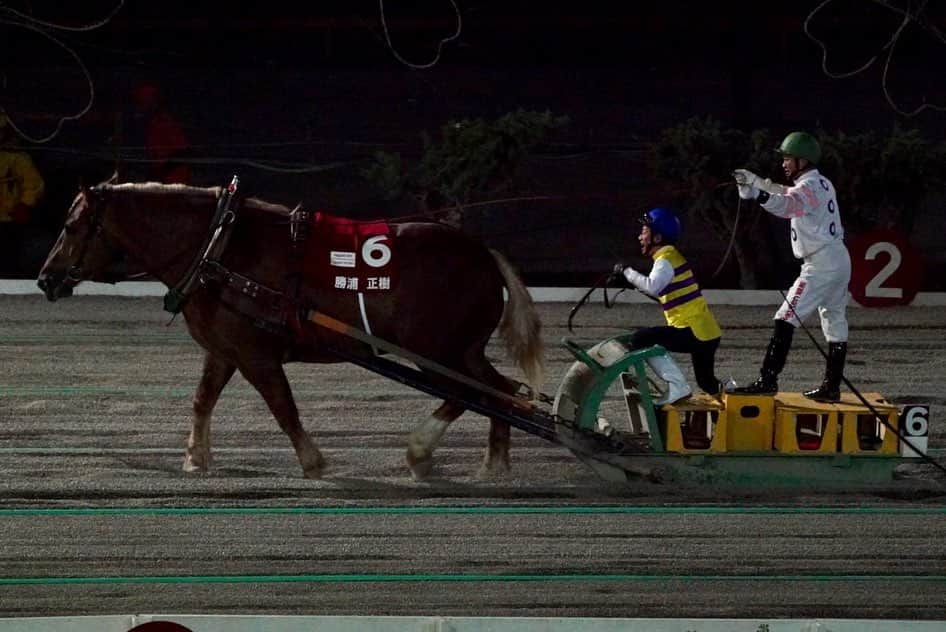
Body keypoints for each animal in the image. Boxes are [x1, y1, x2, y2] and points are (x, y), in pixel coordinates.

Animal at [37, 181, 544, 478]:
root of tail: (482, 253)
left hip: (434, 350)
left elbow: (283, 408)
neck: (219, 248)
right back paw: (495, 463)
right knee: (502, 390)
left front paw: (312, 461)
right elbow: (202, 399)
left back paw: (421, 452)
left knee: (470, 393)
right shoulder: (223, 350)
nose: (45, 278)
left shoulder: (256, 354)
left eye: (71, 225)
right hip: (462, 350)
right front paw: (196, 457)